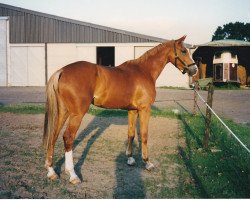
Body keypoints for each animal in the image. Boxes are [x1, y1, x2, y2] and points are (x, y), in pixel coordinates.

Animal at [44, 35, 198, 183]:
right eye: (184, 51)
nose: (194, 70)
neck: (144, 71)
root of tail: (62, 71)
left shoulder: (132, 110)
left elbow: (131, 134)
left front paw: (130, 159)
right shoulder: (144, 109)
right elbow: (144, 135)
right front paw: (147, 162)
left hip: (63, 112)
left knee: (54, 135)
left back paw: (51, 172)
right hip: (77, 114)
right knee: (68, 138)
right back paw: (73, 175)